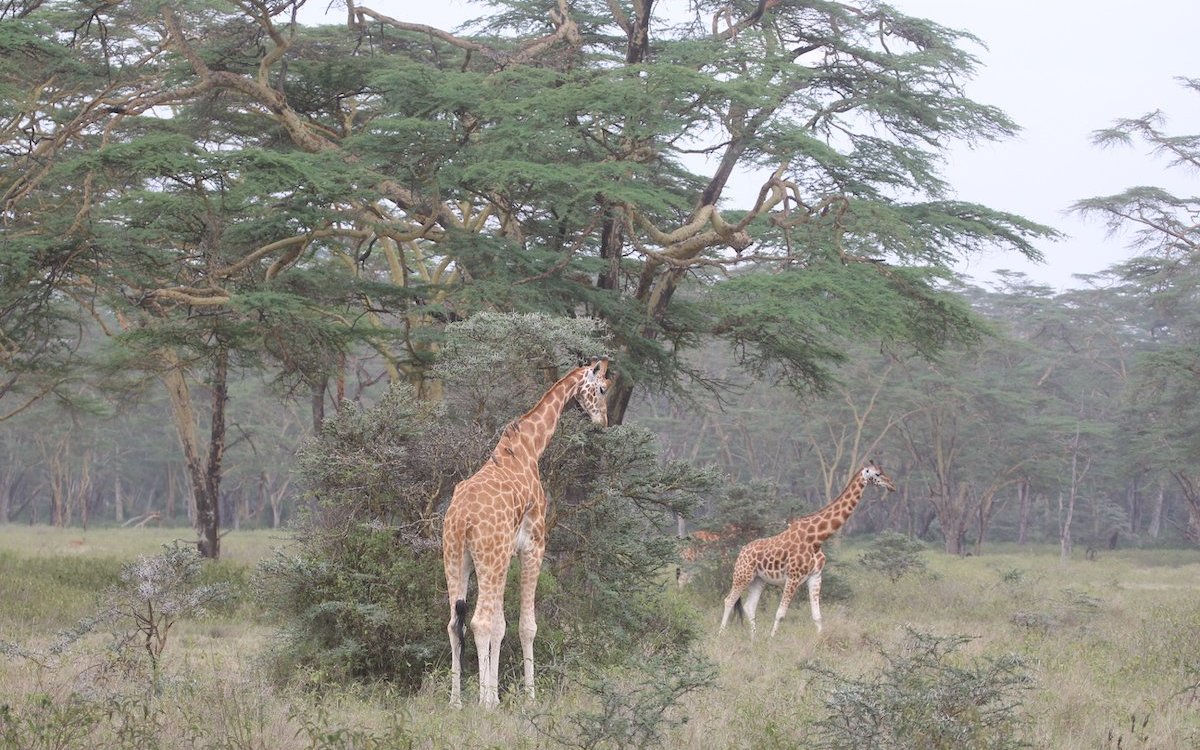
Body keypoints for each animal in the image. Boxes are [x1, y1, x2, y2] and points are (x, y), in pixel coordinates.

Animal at [441, 357, 609, 705]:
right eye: (602, 388)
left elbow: (501, 625)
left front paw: (496, 694)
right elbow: (525, 626)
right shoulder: (533, 545)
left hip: (455, 557)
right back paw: (483, 704)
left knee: (454, 624)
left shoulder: (508, 555)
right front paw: (526, 697)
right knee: (478, 621)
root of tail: (462, 520)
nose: (603, 420)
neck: (529, 447)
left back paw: (456, 701)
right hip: (489, 558)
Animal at [715, 463, 897, 638]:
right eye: (877, 474)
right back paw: (721, 635)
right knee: (728, 600)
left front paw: (820, 640)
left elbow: (817, 616)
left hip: (758, 579)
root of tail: (741, 552)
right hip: (742, 575)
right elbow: (780, 613)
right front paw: (772, 639)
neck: (817, 538)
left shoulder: (815, 576)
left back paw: (754, 638)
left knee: (749, 606)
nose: (892, 485)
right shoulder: (793, 577)